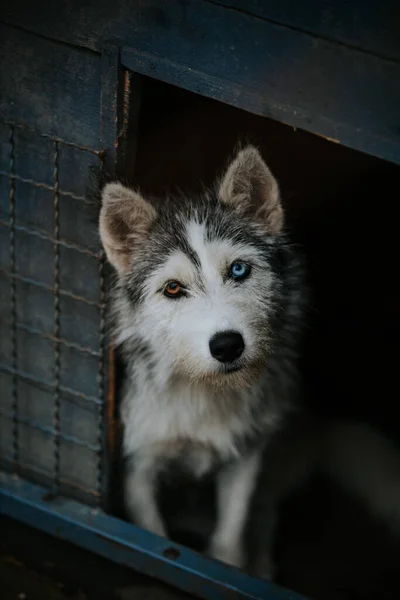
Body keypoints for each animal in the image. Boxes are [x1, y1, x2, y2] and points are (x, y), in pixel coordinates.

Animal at [99, 146, 400, 580]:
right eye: (173, 288)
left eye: (238, 269)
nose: (227, 346)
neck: (207, 390)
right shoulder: (138, 466)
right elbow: (151, 532)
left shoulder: (247, 459)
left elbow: (231, 535)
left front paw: (229, 570)